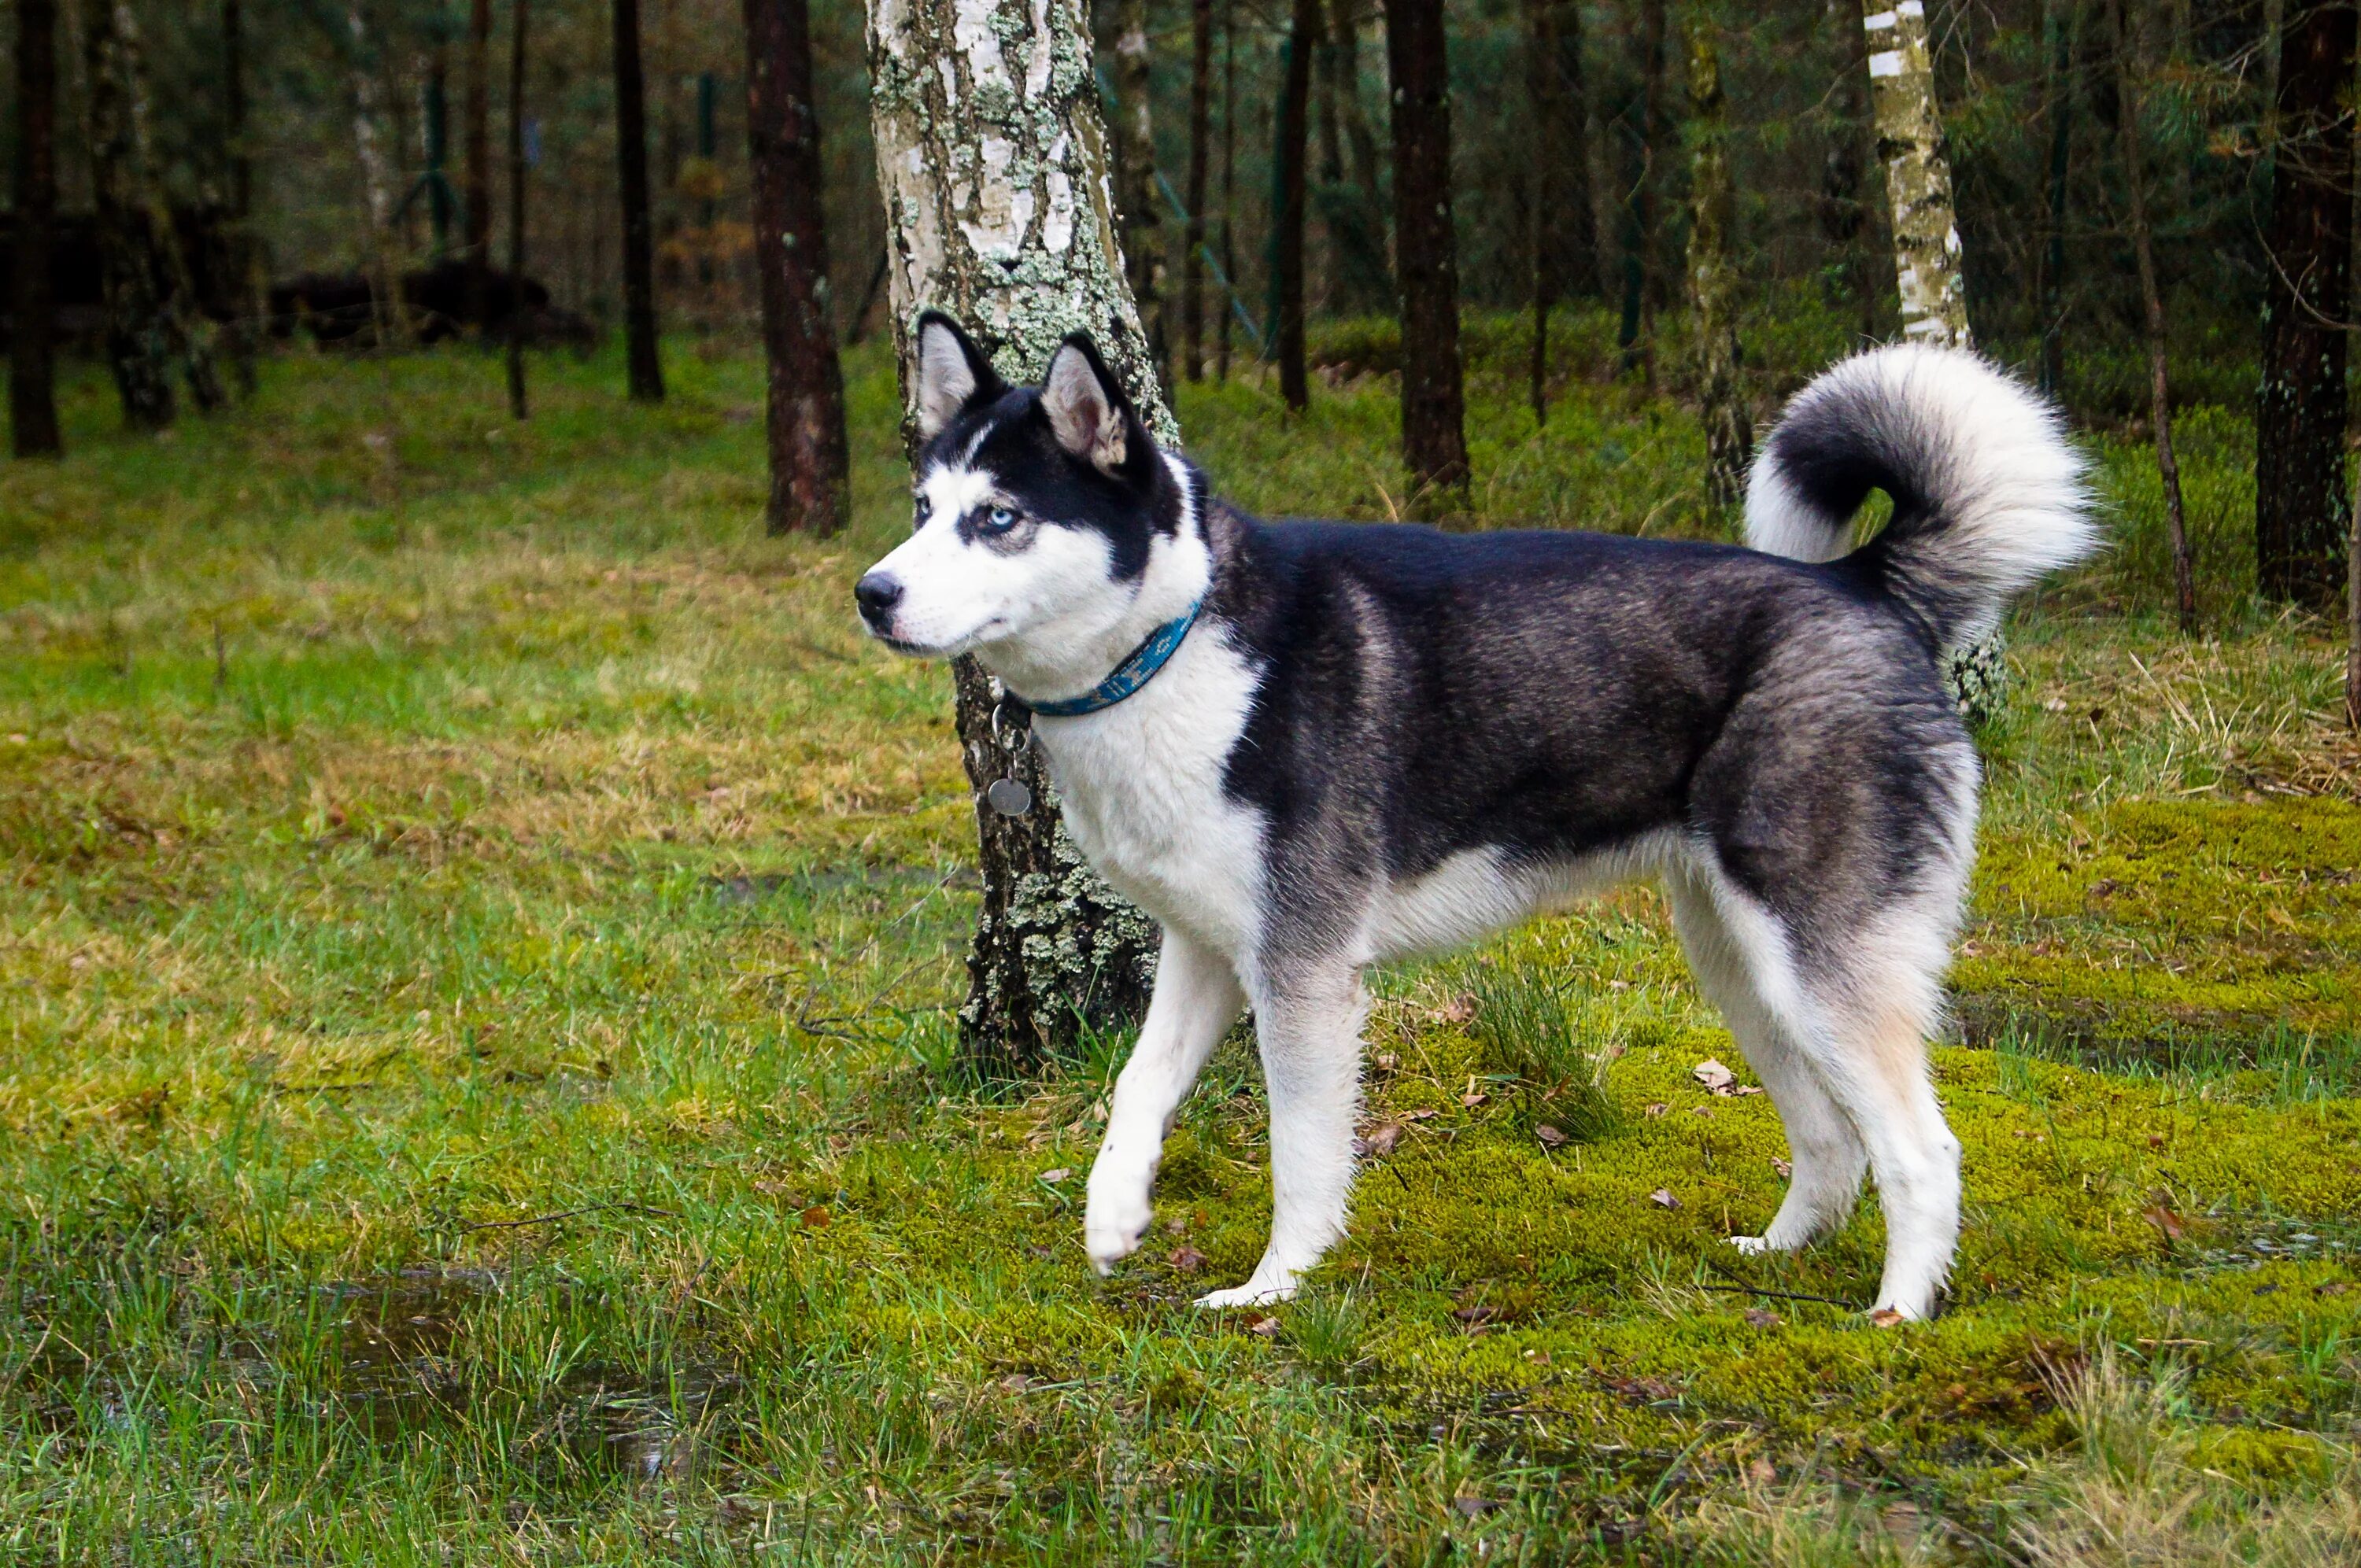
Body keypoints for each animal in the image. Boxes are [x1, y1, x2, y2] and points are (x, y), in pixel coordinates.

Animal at [859, 319, 2097, 1322]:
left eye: (999, 519)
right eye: (922, 511)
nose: (874, 594)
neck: (1175, 642)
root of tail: (1859, 585)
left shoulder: (1302, 968)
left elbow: (1301, 1152)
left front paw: (1275, 1288)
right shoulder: (1210, 949)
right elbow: (1136, 1088)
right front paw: (1113, 1215)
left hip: (1815, 961)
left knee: (1922, 1148)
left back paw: (1898, 1315)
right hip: (1740, 963)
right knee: (1832, 1136)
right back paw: (1777, 1252)